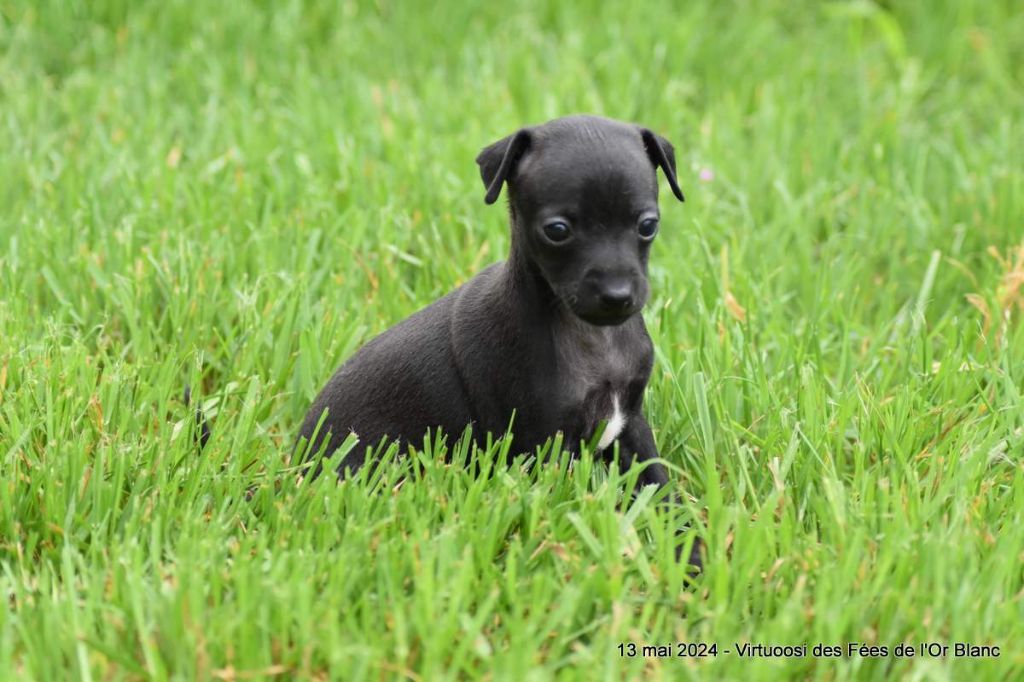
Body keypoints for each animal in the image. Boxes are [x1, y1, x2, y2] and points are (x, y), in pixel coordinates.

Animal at [296, 114, 696, 561]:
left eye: (648, 226)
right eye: (557, 231)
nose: (617, 295)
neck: (592, 337)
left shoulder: (631, 425)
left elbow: (659, 488)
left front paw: (689, 551)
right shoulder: (546, 445)